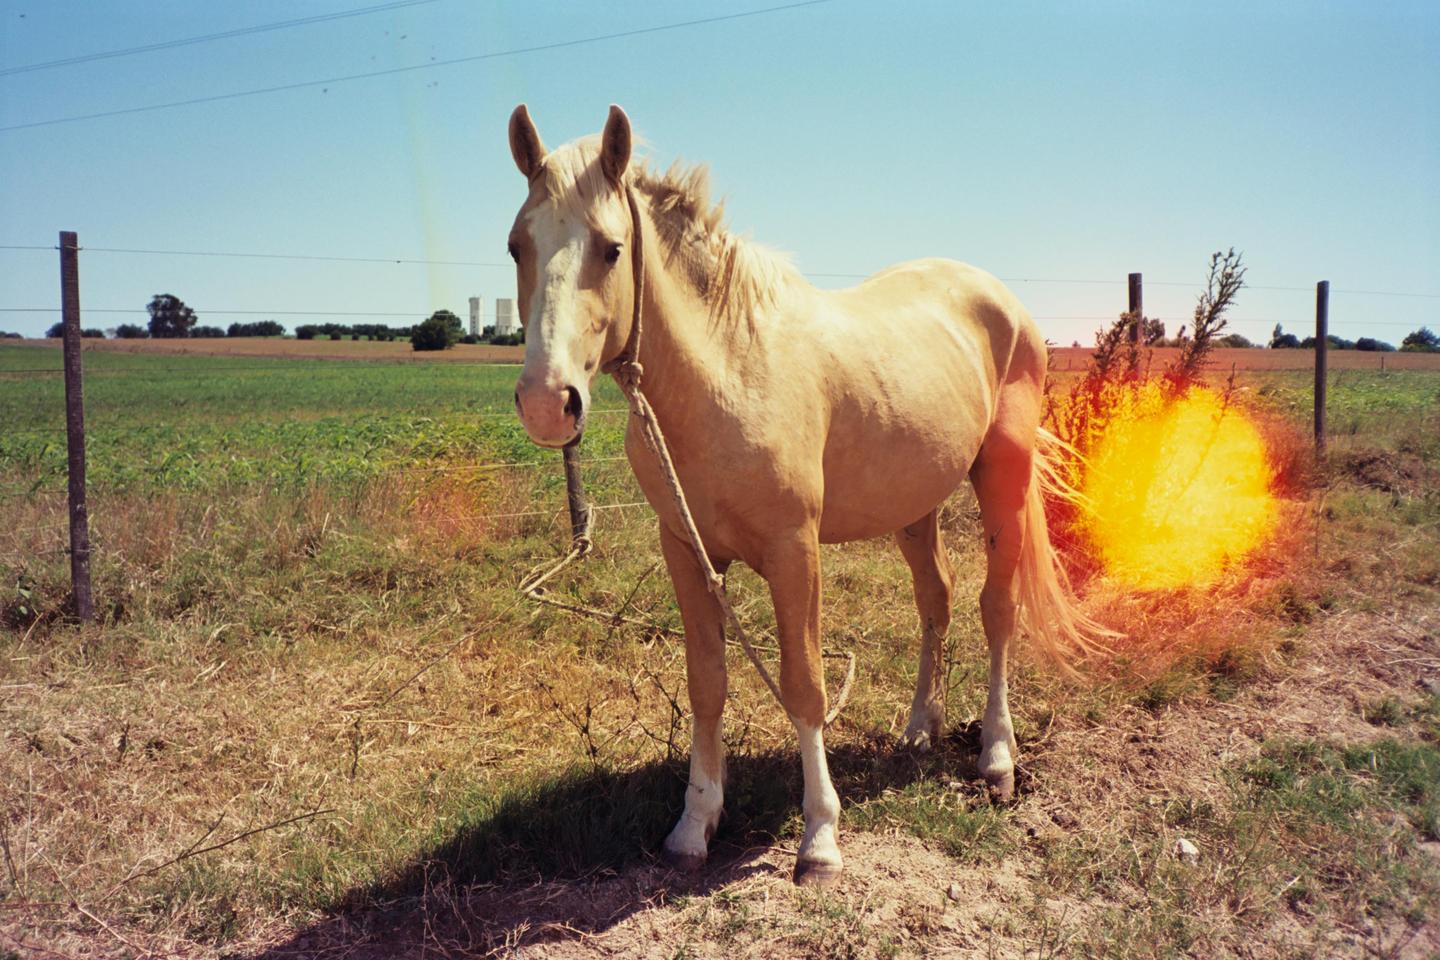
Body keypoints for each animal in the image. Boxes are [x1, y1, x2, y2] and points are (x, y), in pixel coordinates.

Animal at [505, 104, 1099, 886]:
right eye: (517, 245)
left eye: (610, 249)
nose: (549, 403)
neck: (728, 373)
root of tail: (1001, 299)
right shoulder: (687, 553)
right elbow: (708, 683)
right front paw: (695, 825)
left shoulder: (795, 554)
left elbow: (805, 685)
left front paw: (819, 839)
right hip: (915, 506)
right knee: (935, 601)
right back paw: (920, 729)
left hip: (1003, 477)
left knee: (995, 610)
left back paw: (996, 758)